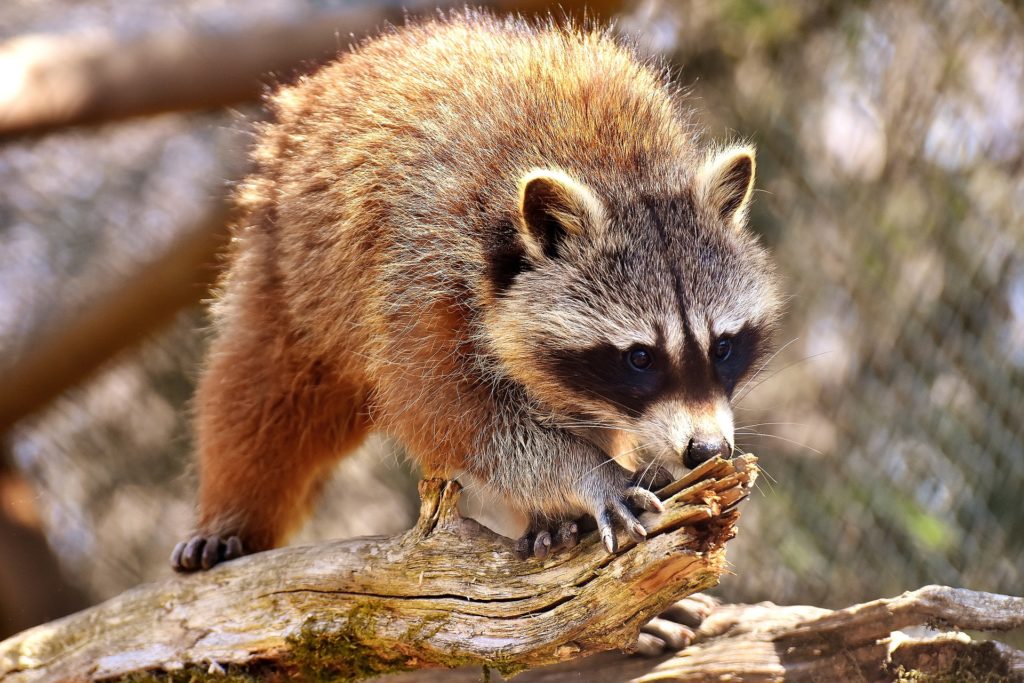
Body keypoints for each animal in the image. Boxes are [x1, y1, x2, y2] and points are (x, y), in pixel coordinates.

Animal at [171, 10, 782, 571]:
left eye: (723, 347)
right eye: (640, 357)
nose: (707, 449)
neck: (621, 166)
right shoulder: (423, 266)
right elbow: (454, 413)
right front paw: (586, 473)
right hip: (290, 258)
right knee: (265, 387)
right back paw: (232, 511)